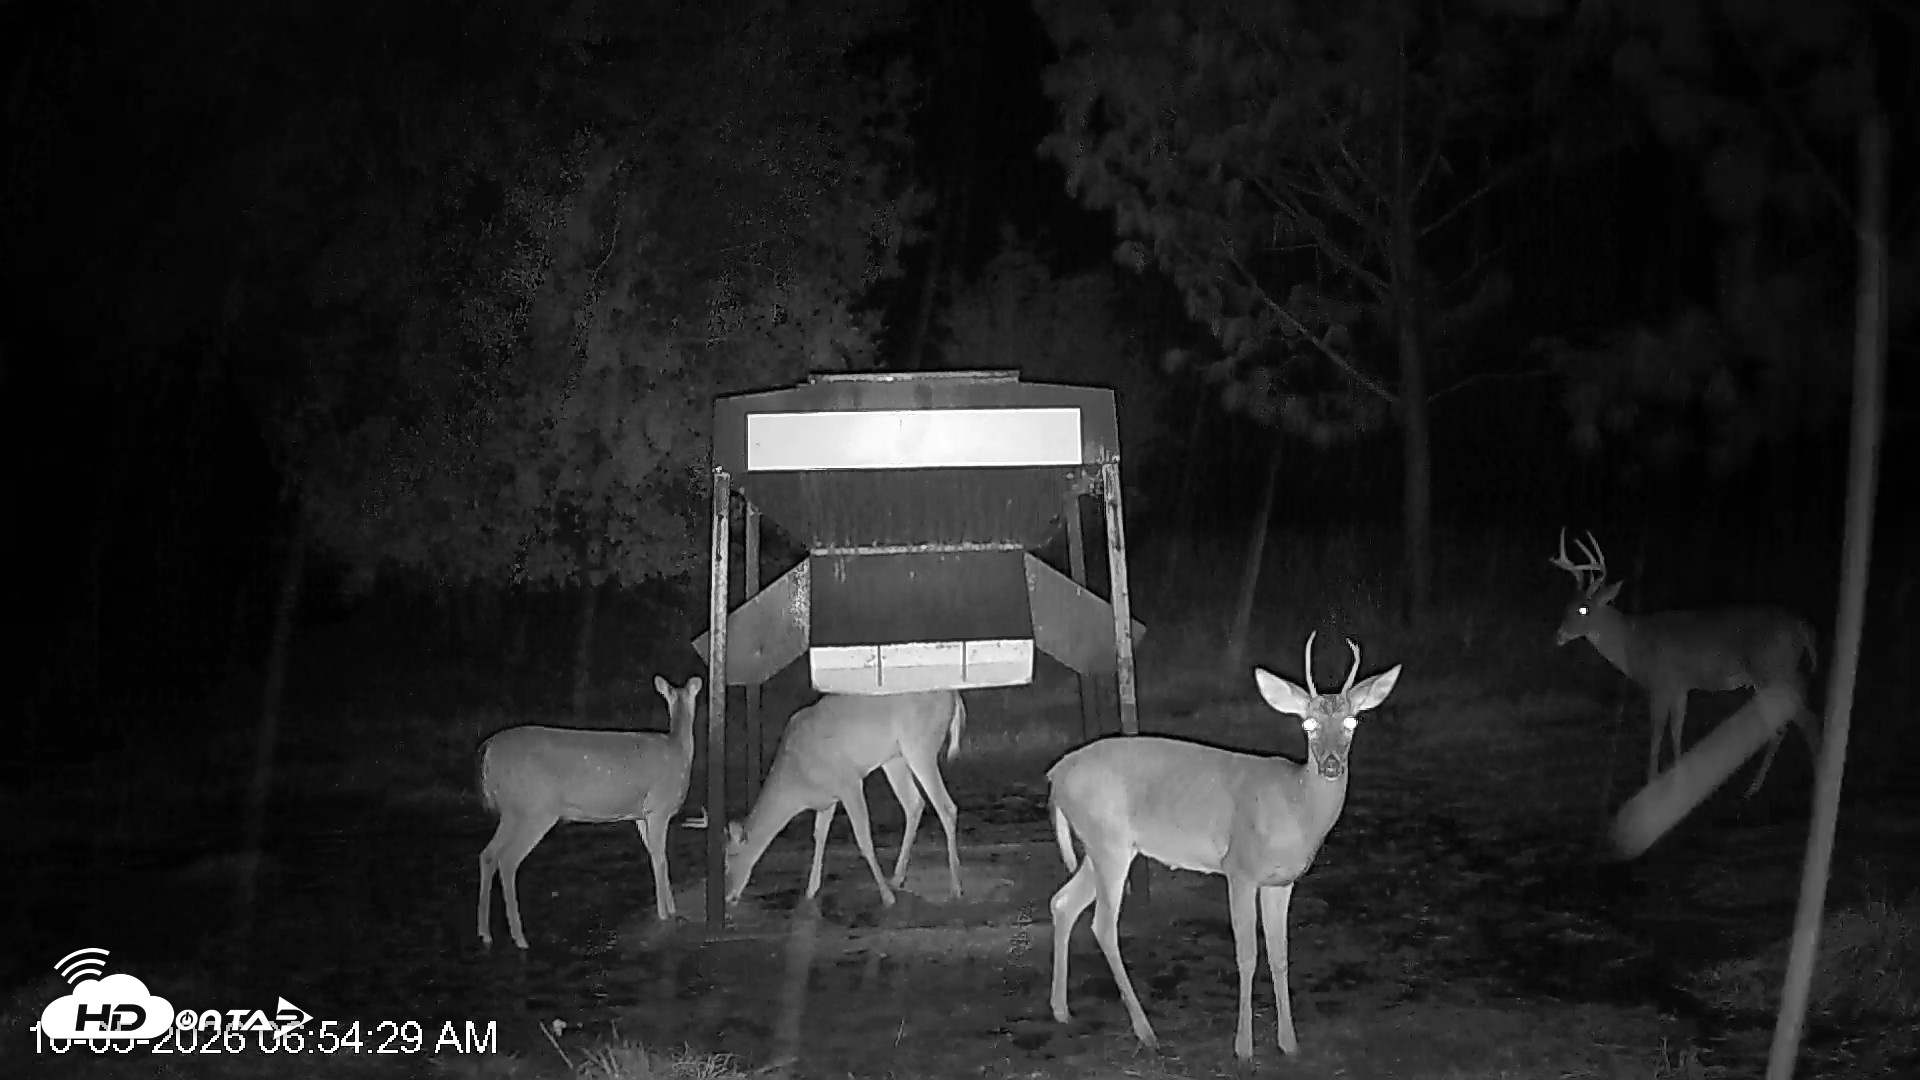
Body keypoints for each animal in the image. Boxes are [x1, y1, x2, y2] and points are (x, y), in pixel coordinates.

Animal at [476, 675, 703, 950]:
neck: (677, 748)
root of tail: (488, 751)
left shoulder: (640, 814)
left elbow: (655, 855)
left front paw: (670, 906)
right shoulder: (659, 807)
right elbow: (660, 857)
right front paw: (665, 913)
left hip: (512, 811)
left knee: (488, 855)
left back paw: (485, 932)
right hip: (536, 808)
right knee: (508, 860)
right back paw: (520, 938)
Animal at [718, 690, 967, 908]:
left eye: (730, 857)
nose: (727, 897)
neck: (797, 782)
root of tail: (954, 696)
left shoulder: (849, 782)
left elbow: (864, 839)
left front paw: (887, 898)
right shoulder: (828, 798)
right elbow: (819, 835)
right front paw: (810, 892)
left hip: (920, 746)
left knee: (947, 807)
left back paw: (955, 888)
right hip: (894, 758)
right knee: (914, 804)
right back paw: (897, 878)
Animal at [1048, 632, 1401, 1062]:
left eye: (1352, 721)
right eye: (1308, 723)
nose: (1332, 764)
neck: (1296, 807)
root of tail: (1055, 775)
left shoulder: (1282, 882)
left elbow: (1280, 955)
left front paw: (1289, 1043)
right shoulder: (1239, 868)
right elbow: (1247, 955)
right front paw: (1243, 1048)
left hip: (1103, 845)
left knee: (1063, 902)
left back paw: (1062, 1010)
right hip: (1108, 842)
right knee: (1102, 924)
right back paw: (1146, 1032)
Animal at [1549, 528, 1821, 798]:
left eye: (1583, 609)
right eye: (1567, 605)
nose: (1559, 635)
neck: (1633, 642)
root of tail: (1802, 626)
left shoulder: (1660, 684)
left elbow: (1657, 733)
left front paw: (1651, 783)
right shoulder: (1680, 687)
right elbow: (1676, 730)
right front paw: (1680, 779)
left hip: (1774, 672)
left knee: (1808, 722)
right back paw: (1754, 787)